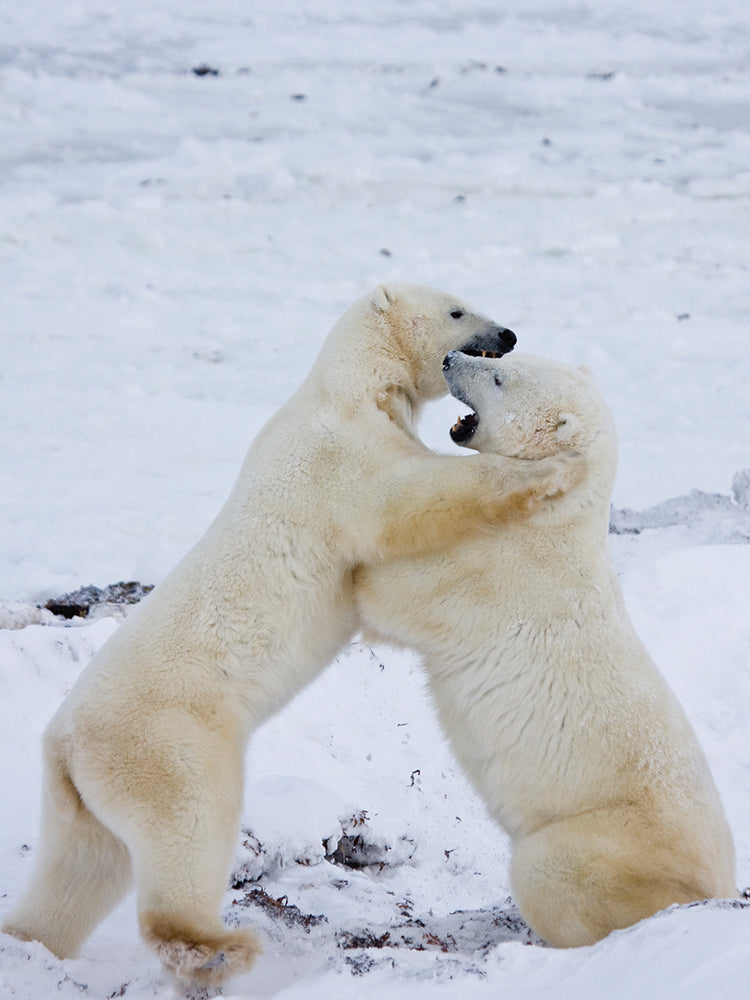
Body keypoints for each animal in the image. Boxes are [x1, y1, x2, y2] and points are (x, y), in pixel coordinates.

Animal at [2, 285, 584, 987]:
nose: (508, 334)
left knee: (81, 869)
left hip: (84, 794)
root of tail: (63, 744)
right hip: (167, 741)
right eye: (456, 309)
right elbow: (409, 501)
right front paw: (553, 471)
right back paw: (218, 945)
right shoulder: (341, 459)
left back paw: (30, 938)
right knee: (189, 825)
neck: (350, 388)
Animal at [355, 350, 736, 948]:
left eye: (497, 377)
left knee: (547, 874)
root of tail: (717, 888)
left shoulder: (491, 569)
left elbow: (394, 595)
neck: (555, 516)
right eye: (504, 359)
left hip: (597, 843)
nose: (450, 357)